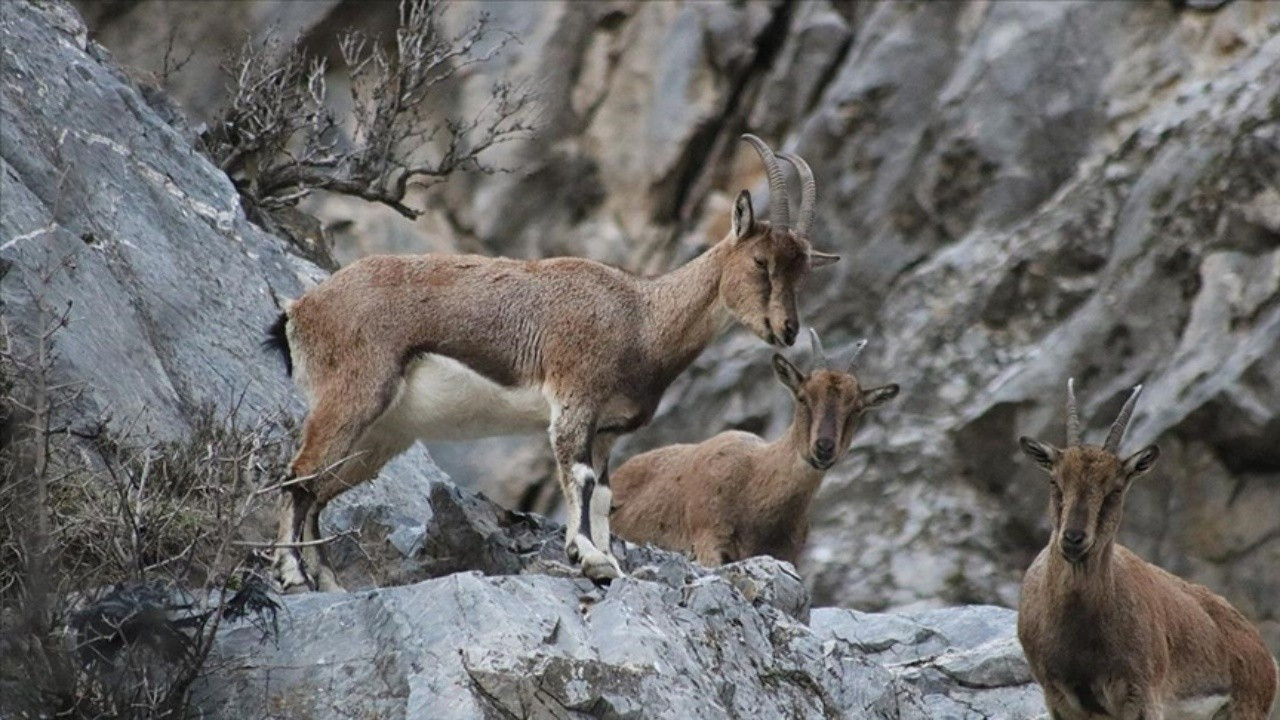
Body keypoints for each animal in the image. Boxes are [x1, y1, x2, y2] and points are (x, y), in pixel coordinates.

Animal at [1013, 379, 1274, 712]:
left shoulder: (1141, 694)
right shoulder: (1059, 698)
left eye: (1115, 489)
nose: (1073, 539)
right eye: (1055, 482)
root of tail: (1263, 651)